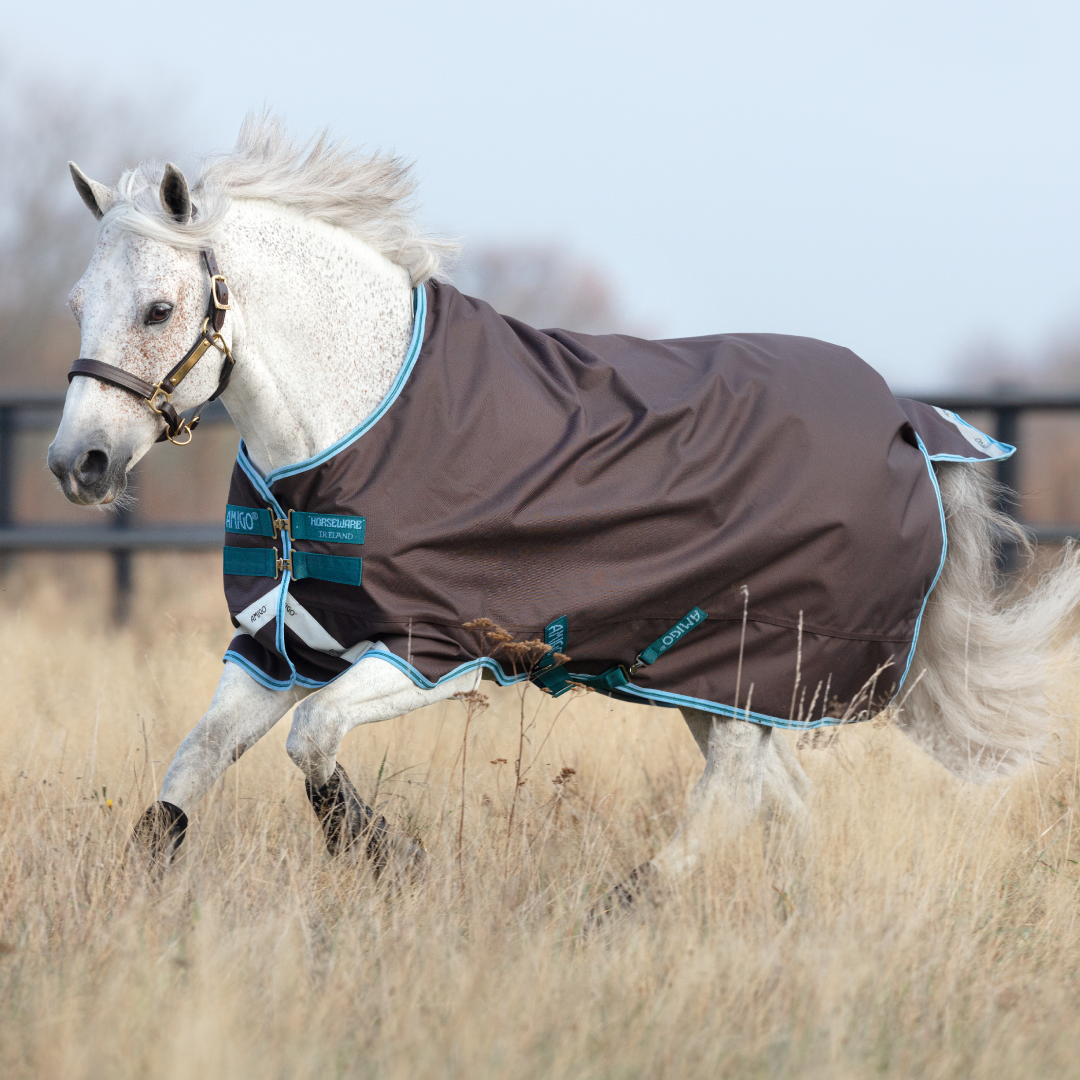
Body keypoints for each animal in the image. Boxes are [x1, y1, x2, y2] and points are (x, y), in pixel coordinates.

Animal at [48, 117, 1080, 913]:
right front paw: (136, 898)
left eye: (159, 308)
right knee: (774, 796)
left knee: (736, 792)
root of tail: (914, 424)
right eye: (79, 302)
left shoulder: (432, 653)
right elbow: (190, 770)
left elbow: (314, 742)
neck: (357, 423)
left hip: (748, 664)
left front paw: (385, 855)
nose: (76, 464)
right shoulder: (277, 646)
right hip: (703, 678)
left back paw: (626, 904)